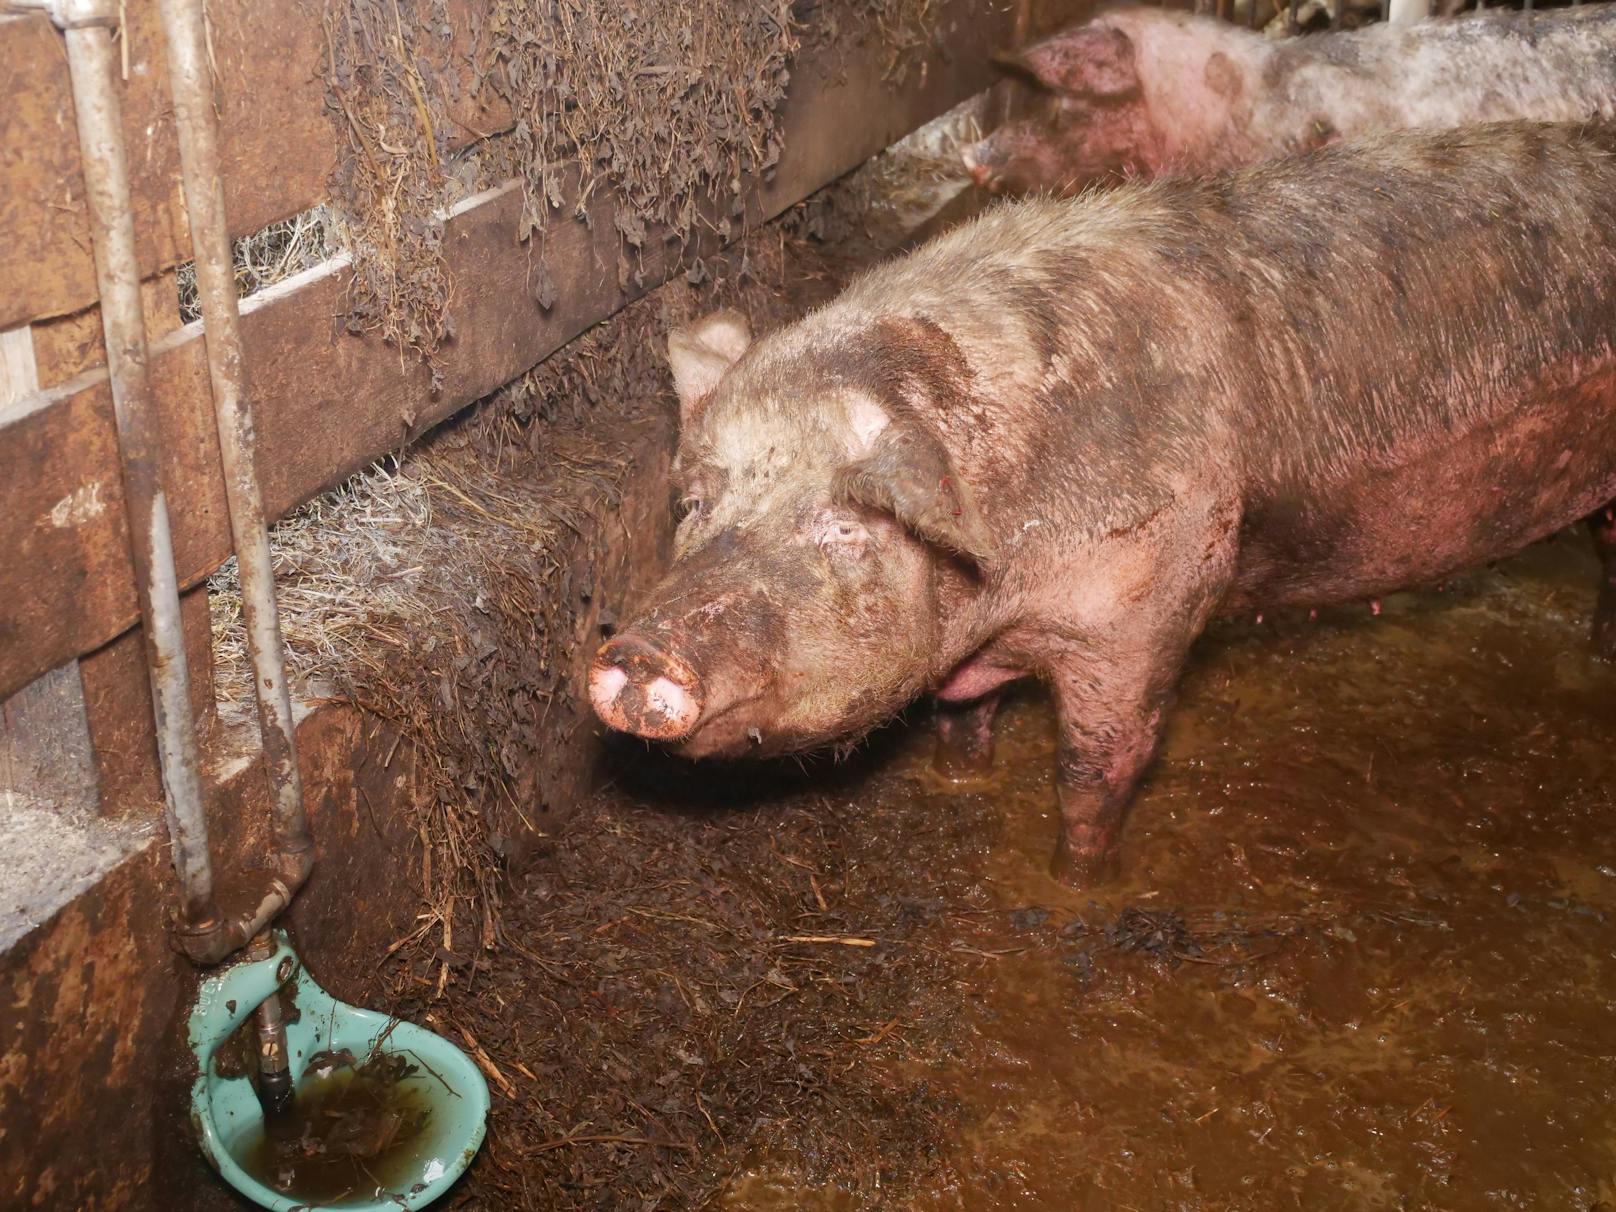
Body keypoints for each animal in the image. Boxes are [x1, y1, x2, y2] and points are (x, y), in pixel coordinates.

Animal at [591, 121, 1616, 885]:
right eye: (693, 503)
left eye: (846, 525)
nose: (640, 649)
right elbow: (963, 721)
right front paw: (965, 777)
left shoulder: (1150, 602)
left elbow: (1099, 766)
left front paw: (1079, 884)